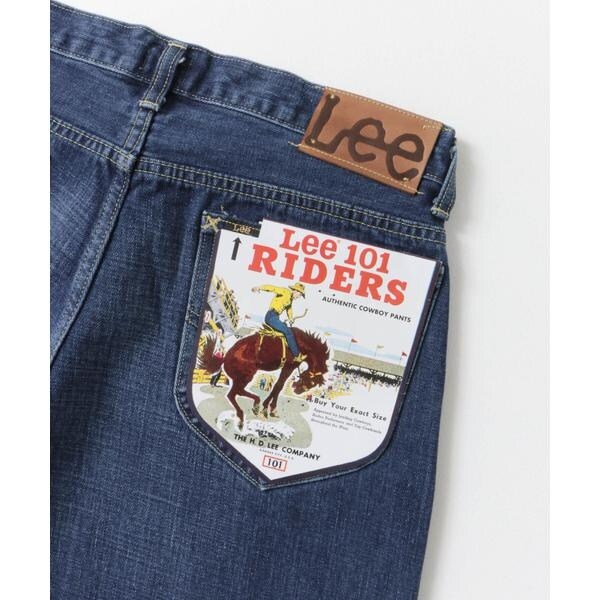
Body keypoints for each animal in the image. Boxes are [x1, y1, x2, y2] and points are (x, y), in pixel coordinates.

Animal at [198, 328, 329, 428]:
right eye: (312, 382)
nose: (297, 391)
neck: (302, 344)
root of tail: (225, 358)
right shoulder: (288, 366)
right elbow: (278, 386)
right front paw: (267, 408)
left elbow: (278, 386)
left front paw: (270, 409)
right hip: (247, 375)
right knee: (235, 393)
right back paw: (254, 406)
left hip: (241, 378)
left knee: (233, 394)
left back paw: (244, 414)